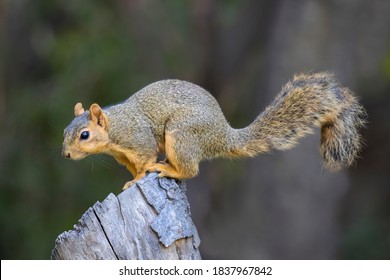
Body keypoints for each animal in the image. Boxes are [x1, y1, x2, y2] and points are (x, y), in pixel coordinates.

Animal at [61, 72, 366, 190]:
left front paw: (135, 180)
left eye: (84, 135)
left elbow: (144, 160)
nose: (65, 155)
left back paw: (169, 169)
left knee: (190, 170)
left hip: (181, 135)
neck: (114, 131)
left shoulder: (138, 139)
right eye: (65, 131)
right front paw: (132, 178)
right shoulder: (124, 155)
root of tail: (224, 136)